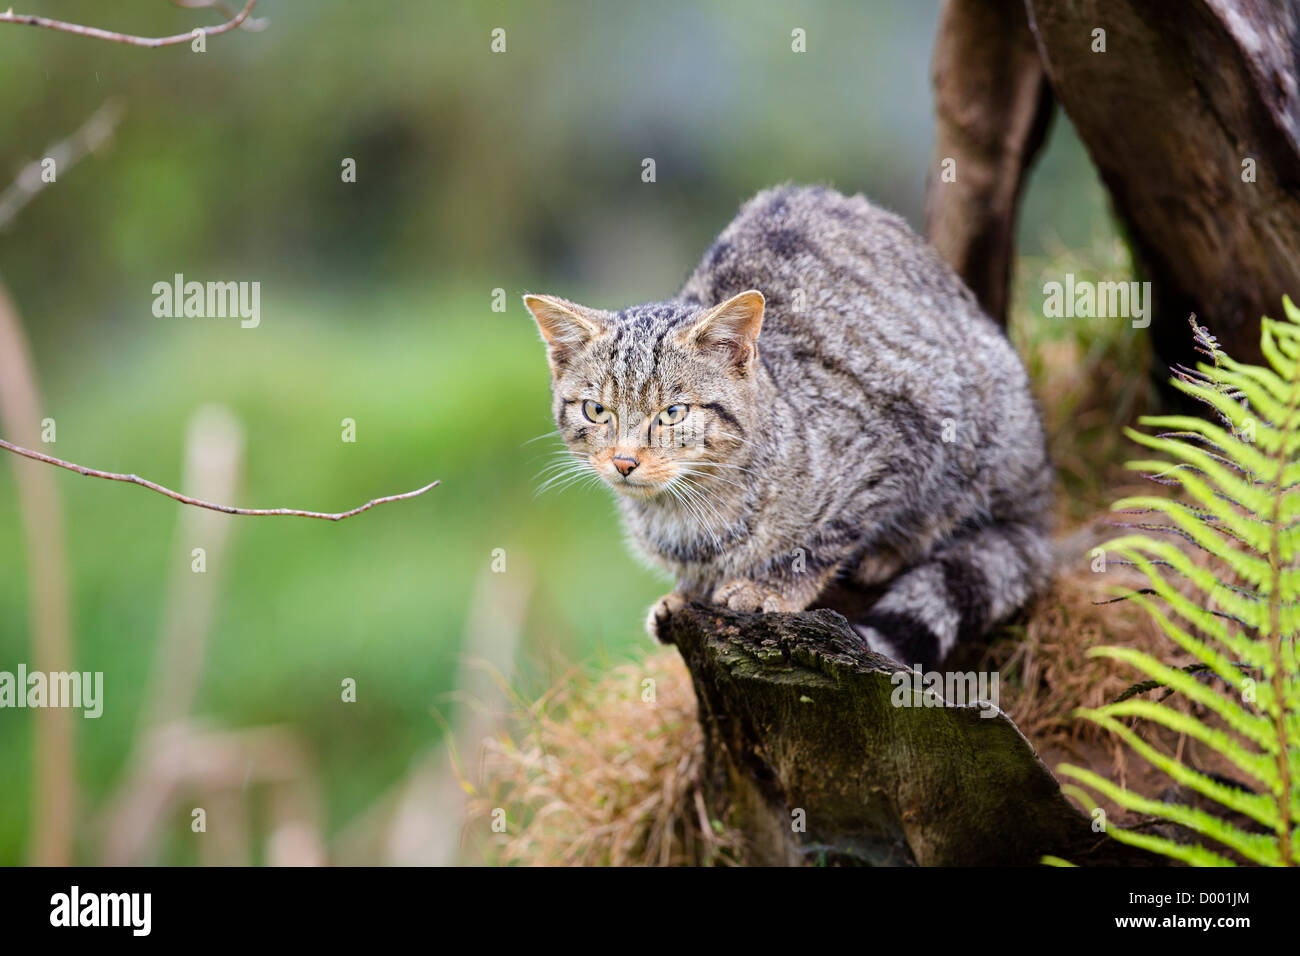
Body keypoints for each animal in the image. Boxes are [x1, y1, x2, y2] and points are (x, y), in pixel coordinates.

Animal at [522, 184, 1050, 665]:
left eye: (673, 413)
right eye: (596, 411)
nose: (625, 461)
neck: (685, 513)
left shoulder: (897, 436)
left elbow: (828, 537)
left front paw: (773, 587)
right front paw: (686, 592)